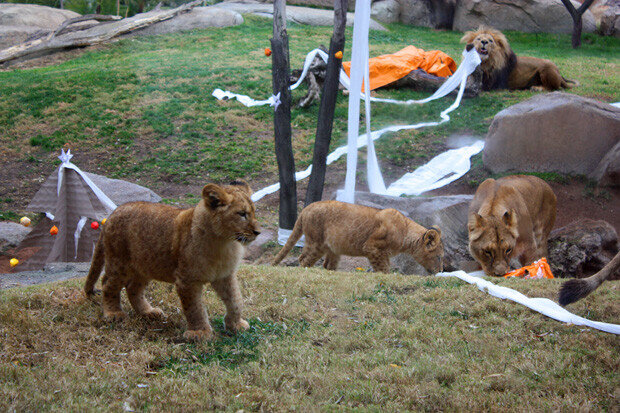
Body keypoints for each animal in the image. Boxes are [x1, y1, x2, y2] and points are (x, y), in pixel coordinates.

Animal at [83, 179, 260, 340]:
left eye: (253, 212)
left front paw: (236, 325)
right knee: (107, 284)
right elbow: (194, 308)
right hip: (119, 263)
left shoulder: (224, 275)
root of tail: (112, 214)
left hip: (145, 266)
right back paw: (114, 313)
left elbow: (236, 300)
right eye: (242, 214)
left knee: (133, 288)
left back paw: (148, 312)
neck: (224, 242)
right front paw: (199, 333)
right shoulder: (187, 280)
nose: (258, 232)